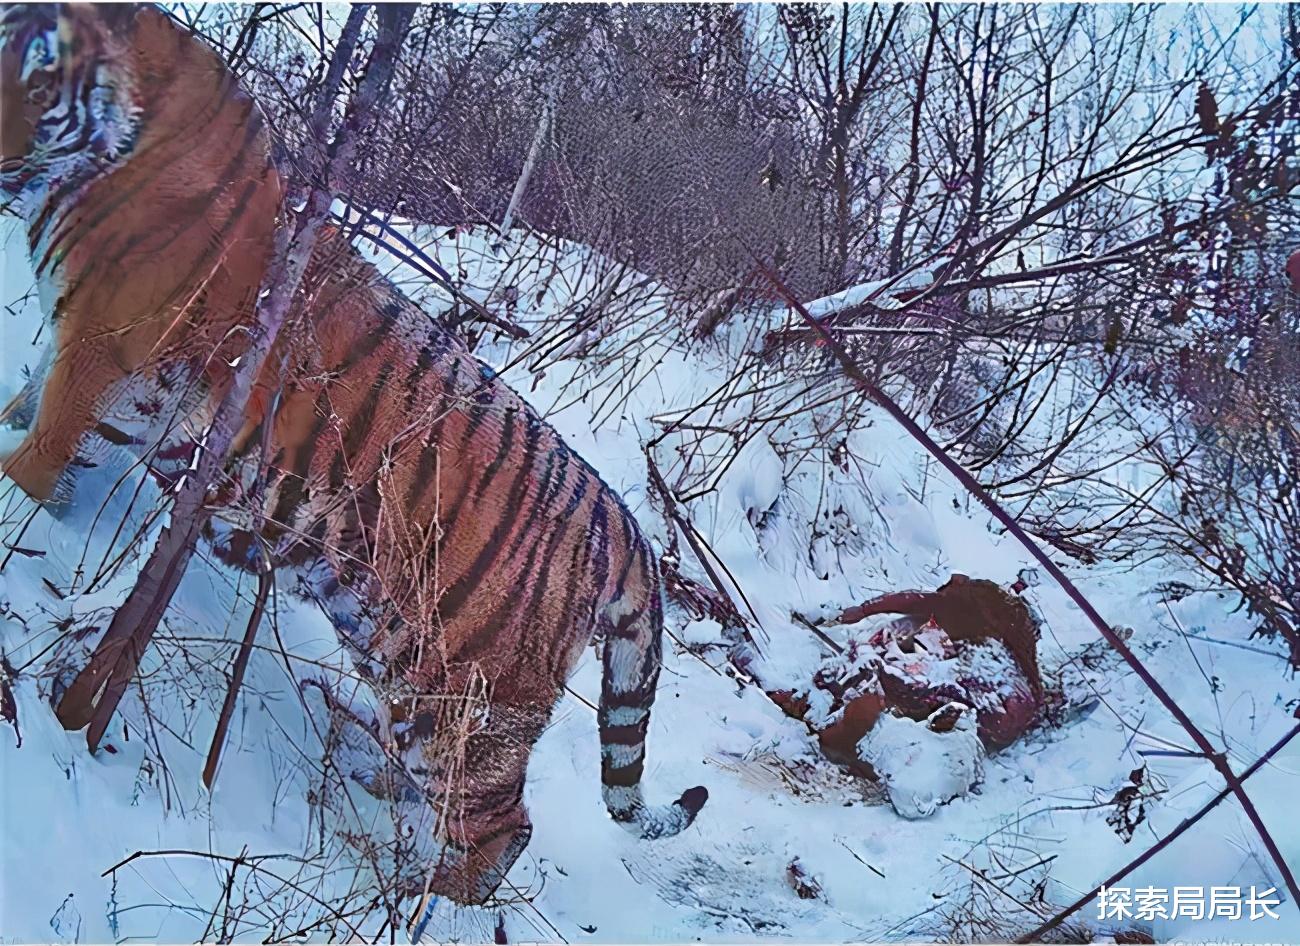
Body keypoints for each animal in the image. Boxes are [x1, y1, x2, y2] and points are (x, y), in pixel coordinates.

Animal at [1, 2, 706, 905]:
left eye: (33, 73)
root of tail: (627, 524)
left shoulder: (97, 362)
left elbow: (33, 458)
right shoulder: (93, 379)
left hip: (459, 699)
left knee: (500, 827)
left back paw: (410, 895)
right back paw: (376, 782)